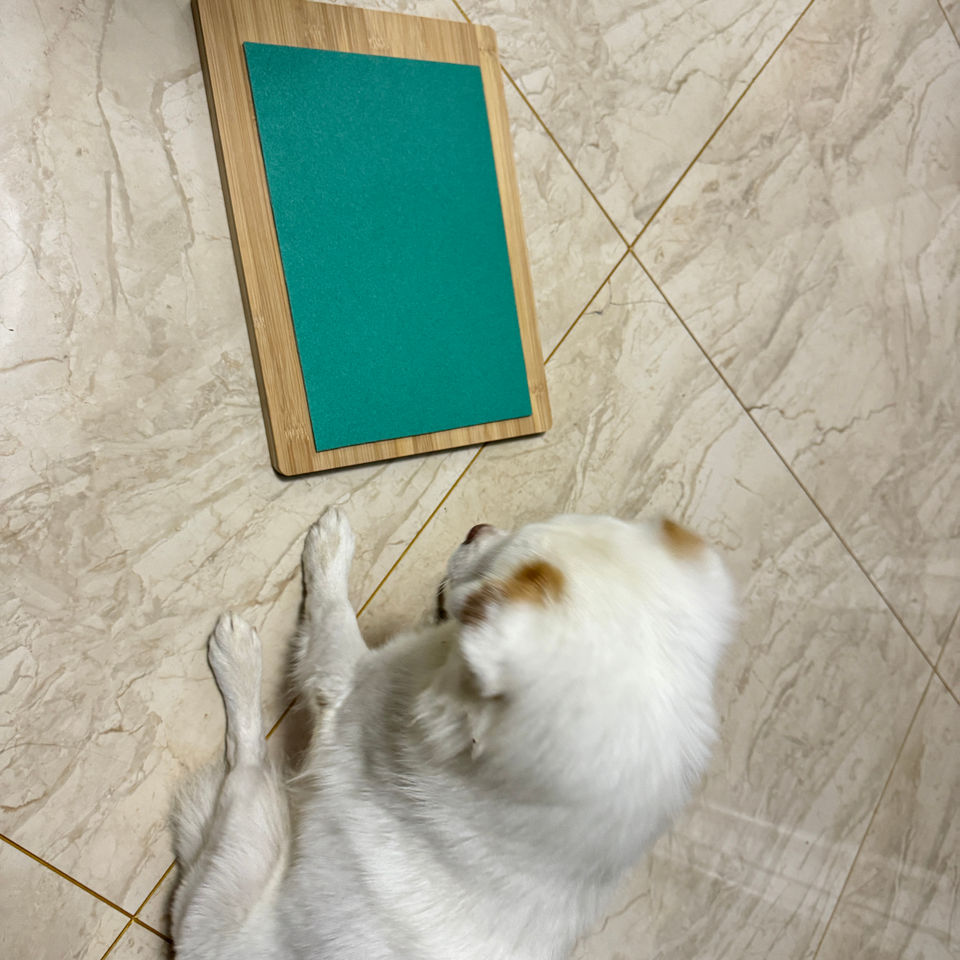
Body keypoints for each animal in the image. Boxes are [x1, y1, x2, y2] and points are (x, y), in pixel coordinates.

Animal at [170, 509, 735, 959]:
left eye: (491, 579)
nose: (476, 528)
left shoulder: (346, 680)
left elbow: (331, 610)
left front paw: (330, 546)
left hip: (245, 845)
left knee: (243, 764)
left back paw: (237, 657)